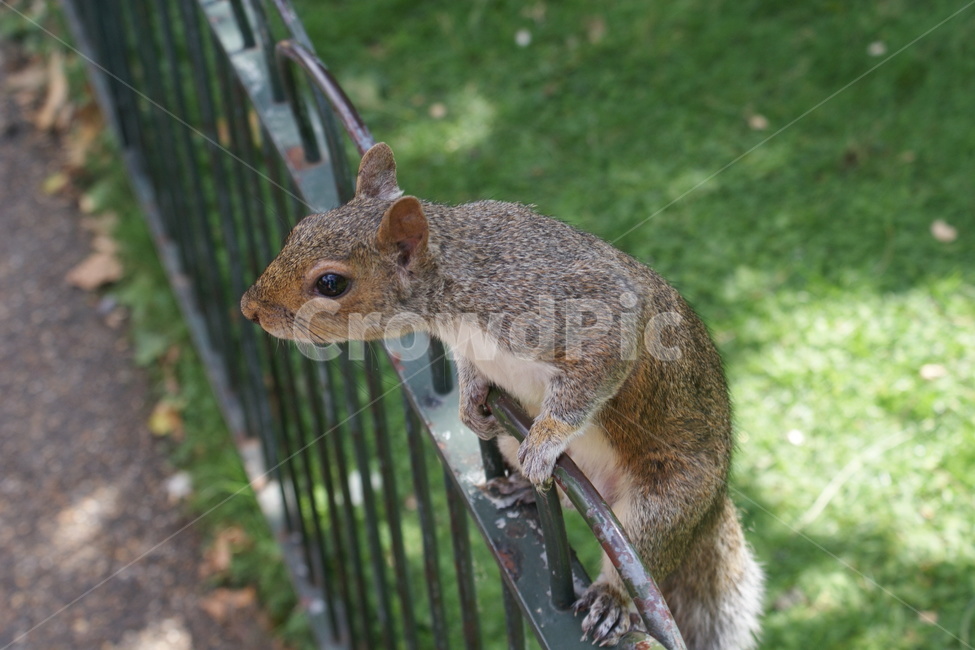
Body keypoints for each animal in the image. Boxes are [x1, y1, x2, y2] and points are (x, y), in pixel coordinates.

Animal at [241, 142, 764, 649]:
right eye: (300, 228)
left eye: (331, 283)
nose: (249, 309)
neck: (455, 285)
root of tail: (713, 506)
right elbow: (473, 373)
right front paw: (469, 404)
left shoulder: (565, 306)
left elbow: (596, 367)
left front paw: (548, 437)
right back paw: (519, 490)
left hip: (666, 500)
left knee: (644, 548)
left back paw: (610, 598)